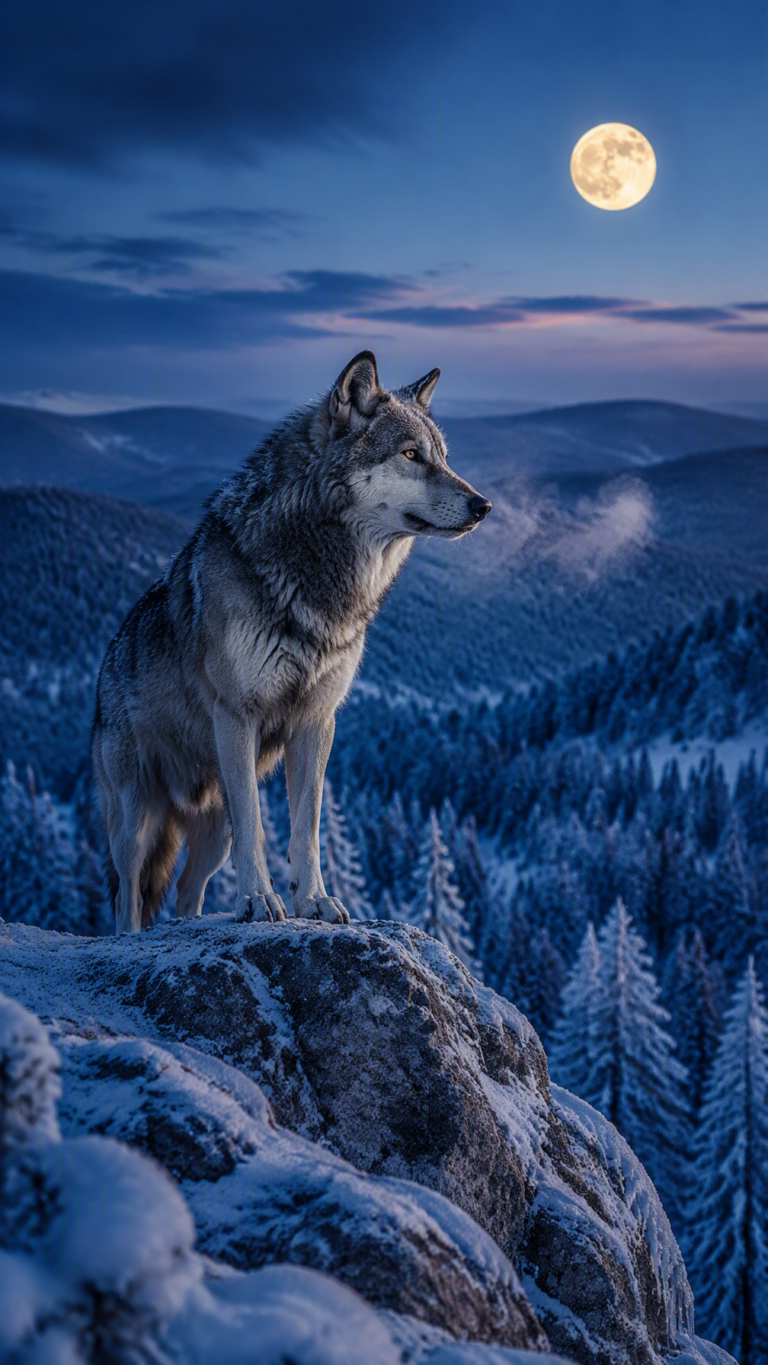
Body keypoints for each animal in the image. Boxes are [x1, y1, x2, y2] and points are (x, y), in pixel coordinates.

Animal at [92, 351, 492, 933]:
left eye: (442, 457)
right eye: (411, 455)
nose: (483, 505)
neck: (319, 583)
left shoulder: (316, 722)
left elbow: (308, 828)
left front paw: (315, 902)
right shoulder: (238, 717)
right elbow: (259, 828)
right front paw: (261, 902)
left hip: (212, 829)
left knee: (188, 890)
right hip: (136, 820)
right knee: (128, 893)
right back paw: (136, 936)